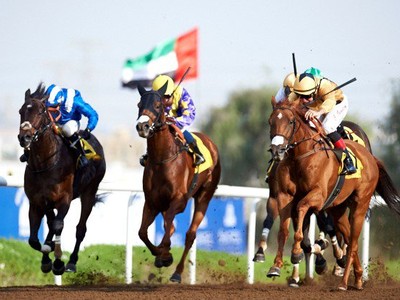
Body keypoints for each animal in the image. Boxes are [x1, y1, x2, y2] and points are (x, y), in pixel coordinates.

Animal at [17, 83, 106, 276]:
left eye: (41, 111)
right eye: (21, 111)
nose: (24, 137)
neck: (45, 163)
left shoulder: (64, 199)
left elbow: (58, 225)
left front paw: (58, 262)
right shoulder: (37, 202)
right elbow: (34, 239)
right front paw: (47, 254)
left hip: (89, 192)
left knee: (80, 229)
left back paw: (71, 262)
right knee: (51, 223)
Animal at [136, 83, 220, 282]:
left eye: (158, 105)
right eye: (139, 105)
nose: (142, 126)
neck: (162, 159)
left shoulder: (179, 201)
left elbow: (168, 228)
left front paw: (165, 255)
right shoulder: (151, 202)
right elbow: (143, 232)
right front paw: (159, 253)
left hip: (204, 197)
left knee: (190, 235)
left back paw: (177, 273)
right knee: (170, 226)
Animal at [268, 97, 400, 290]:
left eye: (291, 121)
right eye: (270, 122)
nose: (277, 150)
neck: (300, 156)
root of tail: (371, 157)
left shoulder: (318, 196)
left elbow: (301, 209)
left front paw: (297, 252)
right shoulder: (285, 196)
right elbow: (283, 230)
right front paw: (276, 266)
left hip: (360, 205)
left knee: (353, 242)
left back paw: (344, 282)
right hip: (338, 209)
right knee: (348, 237)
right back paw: (357, 277)